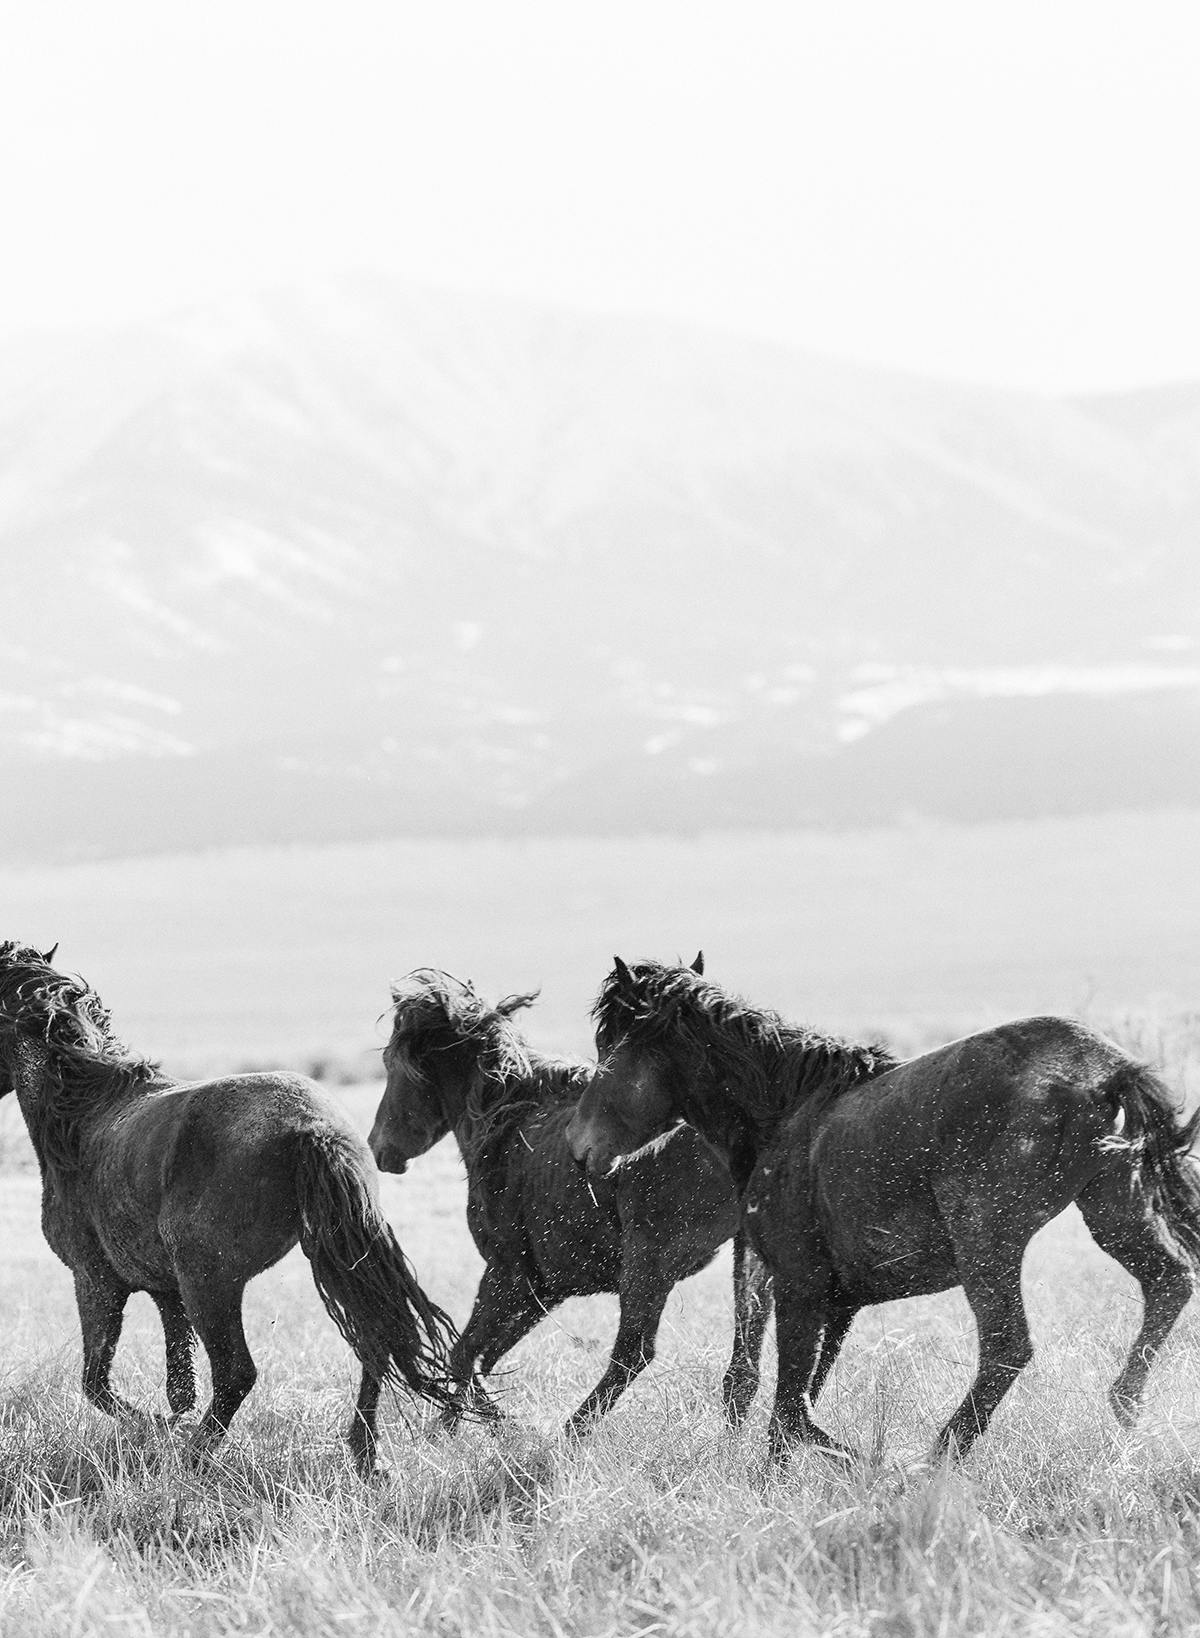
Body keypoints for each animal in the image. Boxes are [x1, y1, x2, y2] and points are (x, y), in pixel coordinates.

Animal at [0, 943, 458, 1480]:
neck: (82, 1118)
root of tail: (313, 1127)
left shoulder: (96, 1279)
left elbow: (98, 1382)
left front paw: (162, 1430)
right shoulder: (165, 1290)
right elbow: (179, 1384)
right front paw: (169, 1423)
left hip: (212, 1282)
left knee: (238, 1371)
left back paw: (197, 1457)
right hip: (335, 1259)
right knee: (375, 1340)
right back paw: (366, 1456)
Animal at [366, 969, 775, 1434]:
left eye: (391, 1065)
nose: (378, 1148)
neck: (505, 1119)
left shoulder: (509, 1275)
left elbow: (465, 1356)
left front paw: (502, 1427)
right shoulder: (545, 1289)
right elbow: (481, 1358)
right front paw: (455, 1428)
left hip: (648, 1261)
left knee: (634, 1353)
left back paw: (569, 1434)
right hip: (747, 1254)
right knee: (743, 1365)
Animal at [566, 956, 1198, 1467]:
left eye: (607, 1048)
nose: (580, 1148)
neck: (784, 1115)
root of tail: (1107, 1072)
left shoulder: (799, 1285)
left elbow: (787, 1408)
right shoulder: (835, 1302)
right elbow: (795, 1404)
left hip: (987, 1243)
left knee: (1007, 1348)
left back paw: (939, 1458)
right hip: (1114, 1211)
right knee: (1170, 1281)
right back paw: (1124, 1415)